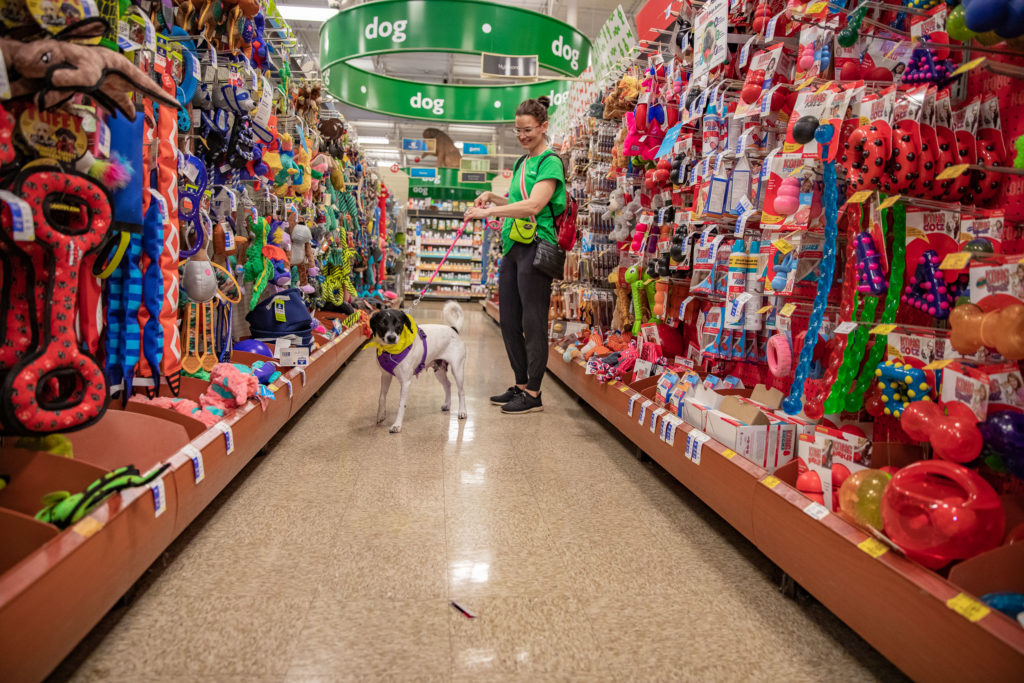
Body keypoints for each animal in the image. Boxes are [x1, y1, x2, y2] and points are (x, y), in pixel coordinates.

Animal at [368, 303, 468, 436]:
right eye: (382, 323)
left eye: (398, 323)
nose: (391, 337)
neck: (391, 351)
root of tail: (453, 329)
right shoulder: (385, 376)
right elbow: (382, 397)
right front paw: (380, 415)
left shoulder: (405, 383)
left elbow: (401, 405)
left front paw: (397, 425)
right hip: (439, 371)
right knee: (448, 384)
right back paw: (447, 404)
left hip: (457, 370)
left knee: (461, 391)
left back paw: (462, 411)